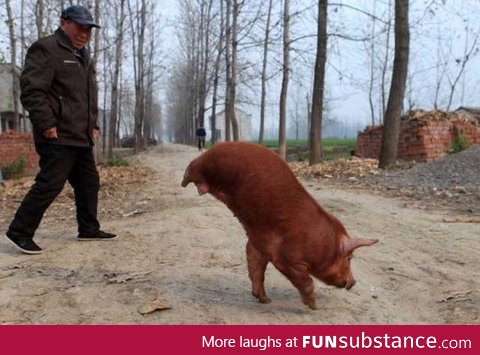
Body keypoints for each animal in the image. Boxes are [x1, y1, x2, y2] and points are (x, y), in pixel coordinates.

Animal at [181, 143, 378, 310]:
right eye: (349, 259)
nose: (353, 282)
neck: (322, 245)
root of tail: (210, 150)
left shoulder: (258, 245)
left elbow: (256, 270)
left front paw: (265, 300)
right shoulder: (287, 258)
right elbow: (305, 281)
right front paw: (314, 307)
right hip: (202, 166)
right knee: (190, 169)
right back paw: (184, 182)